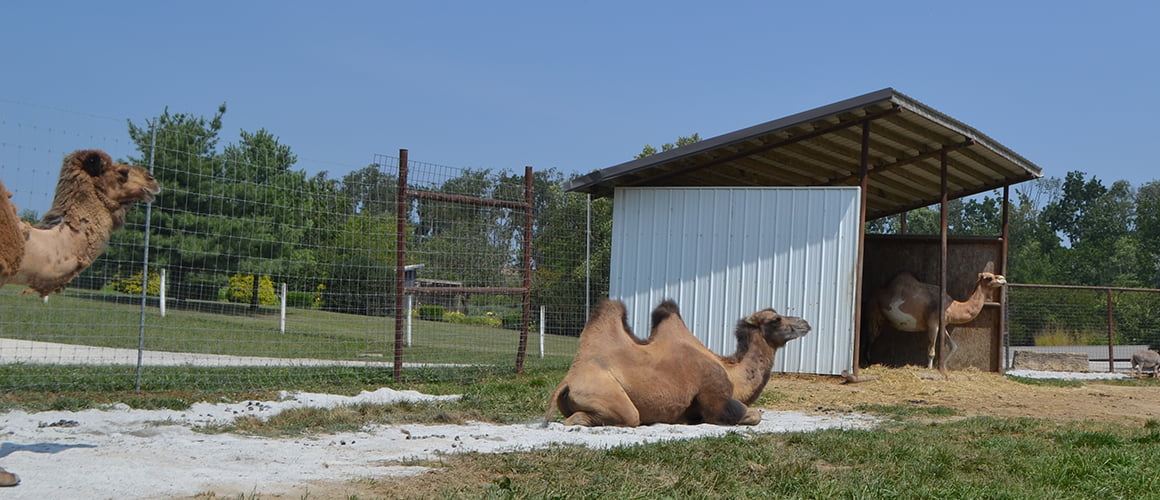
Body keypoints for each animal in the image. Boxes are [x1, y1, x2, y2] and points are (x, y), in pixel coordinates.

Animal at [544, 299, 810, 427]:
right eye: (776, 319)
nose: (805, 323)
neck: (729, 370)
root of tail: (568, 381)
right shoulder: (715, 396)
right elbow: (753, 415)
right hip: (609, 396)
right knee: (625, 417)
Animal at [864, 268, 1006, 373]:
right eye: (989, 277)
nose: (1003, 279)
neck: (953, 307)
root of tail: (874, 293)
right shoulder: (933, 323)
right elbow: (931, 350)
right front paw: (929, 368)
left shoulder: (942, 324)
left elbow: (953, 346)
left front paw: (943, 366)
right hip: (873, 312)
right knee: (870, 336)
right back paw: (867, 362)